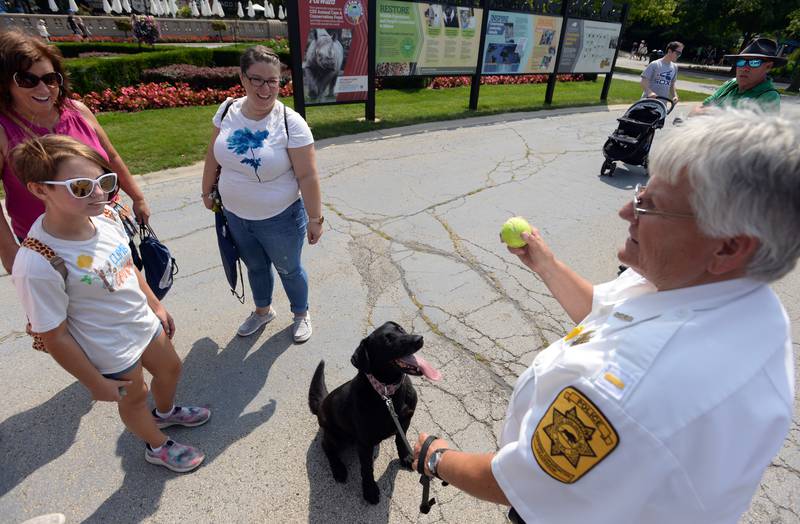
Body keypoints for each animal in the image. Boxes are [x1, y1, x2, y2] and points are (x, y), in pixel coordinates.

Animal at [310, 320, 440, 504]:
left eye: (401, 329)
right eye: (387, 340)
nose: (418, 339)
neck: (387, 392)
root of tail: (321, 403)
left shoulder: (404, 421)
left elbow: (401, 441)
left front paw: (406, 457)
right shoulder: (364, 442)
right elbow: (366, 469)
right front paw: (370, 490)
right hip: (335, 435)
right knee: (326, 447)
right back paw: (339, 469)